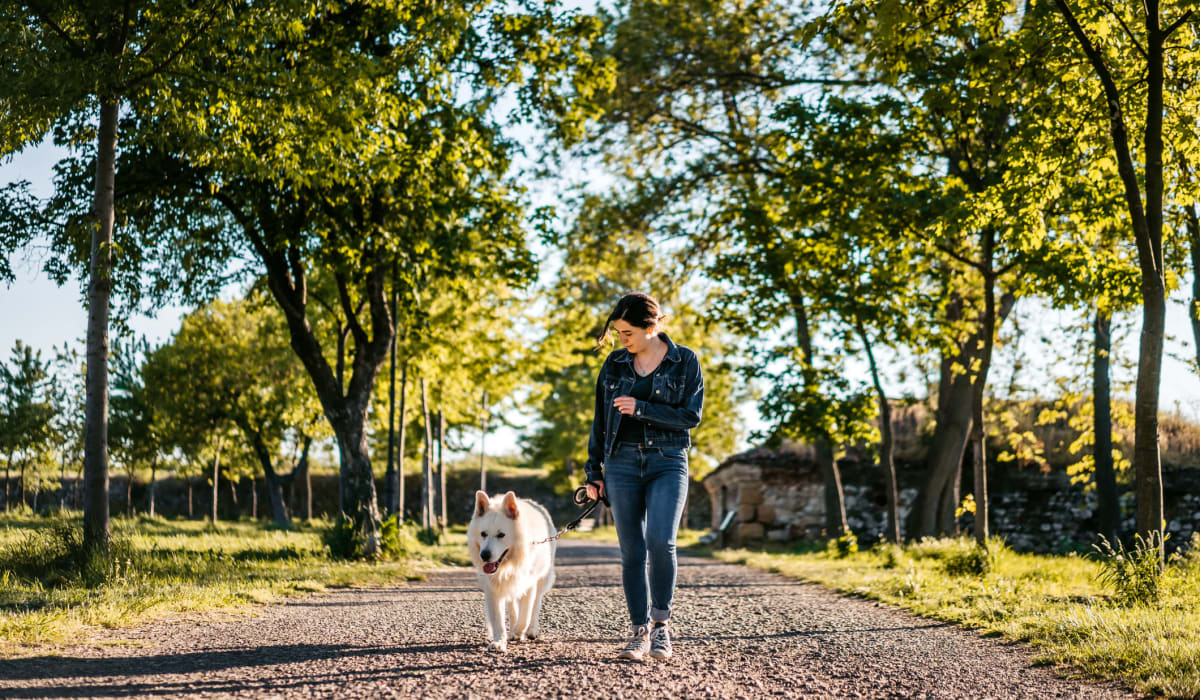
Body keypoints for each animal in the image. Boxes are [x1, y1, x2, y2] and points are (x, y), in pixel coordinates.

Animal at [470, 492, 559, 653]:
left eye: (501, 535)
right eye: (483, 534)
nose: (484, 555)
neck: (508, 565)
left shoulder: (529, 584)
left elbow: (526, 614)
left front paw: (519, 632)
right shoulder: (493, 589)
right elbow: (498, 620)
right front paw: (499, 642)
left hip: (542, 579)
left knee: (535, 605)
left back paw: (530, 631)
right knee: (512, 606)